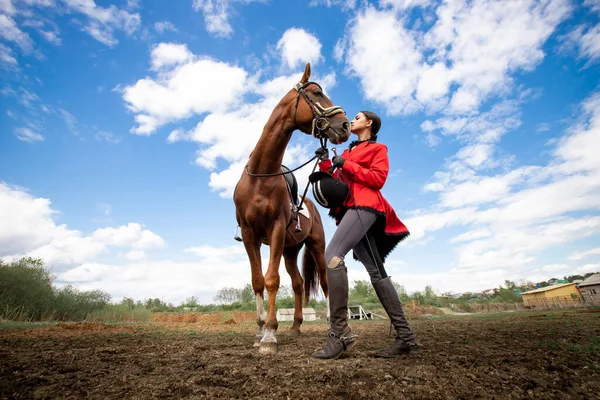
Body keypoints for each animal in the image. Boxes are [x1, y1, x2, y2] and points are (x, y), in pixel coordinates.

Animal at [232, 62, 350, 354]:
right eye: (317, 93)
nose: (345, 125)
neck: (260, 176)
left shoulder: (274, 230)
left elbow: (271, 279)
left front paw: (270, 336)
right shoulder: (250, 235)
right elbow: (258, 280)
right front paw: (260, 330)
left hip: (316, 245)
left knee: (325, 282)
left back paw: (328, 325)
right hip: (290, 251)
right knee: (298, 284)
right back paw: (296, 326)